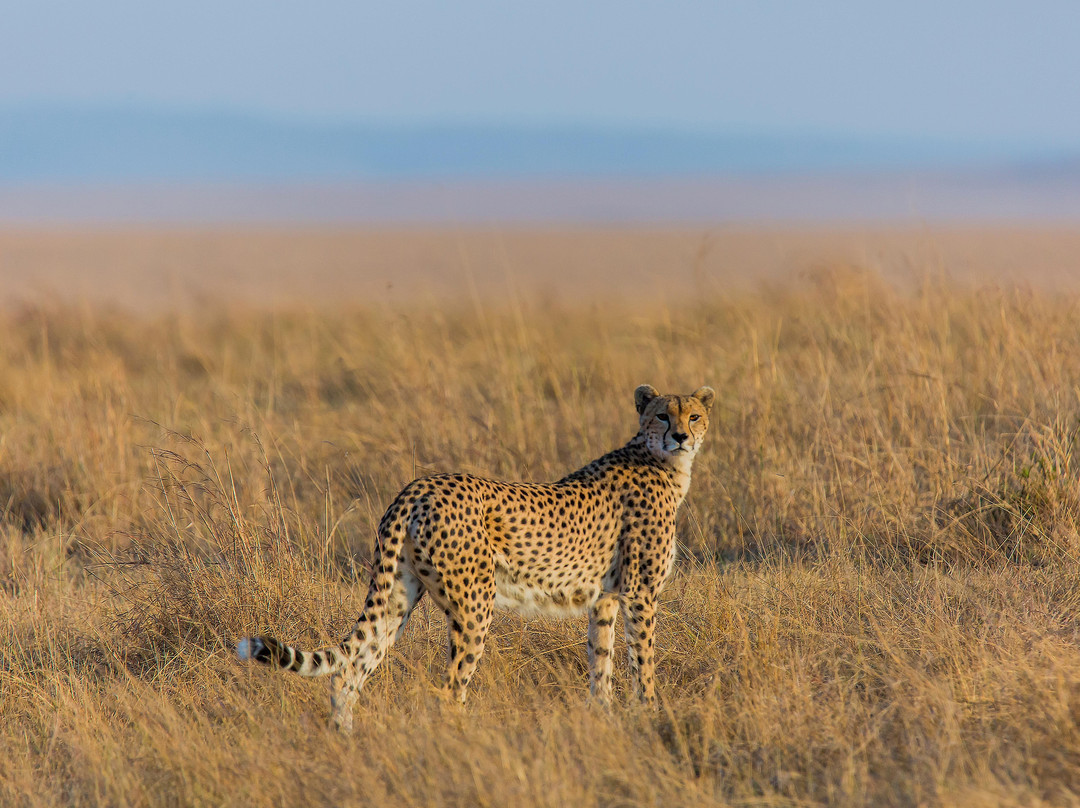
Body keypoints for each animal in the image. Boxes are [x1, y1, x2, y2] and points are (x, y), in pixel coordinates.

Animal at [233, 382, 712, 730]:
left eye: (694, 415)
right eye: (663, 414)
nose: (681, 436)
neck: (661, 462)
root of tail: (417, 487)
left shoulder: (606, 600)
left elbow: (601, 661)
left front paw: (603, 717)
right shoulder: (640, 595)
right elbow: (643, 661)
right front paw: (650, 714)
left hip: (397, 595)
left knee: (349, 669)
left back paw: (345, 738)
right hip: (474, 603)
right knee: (448, 690)